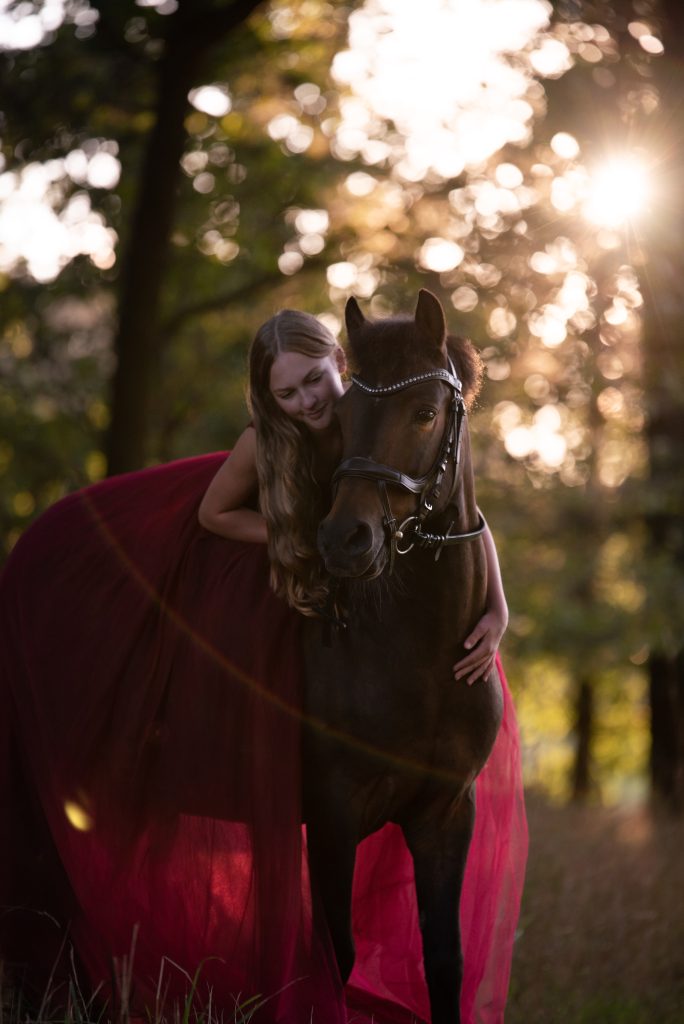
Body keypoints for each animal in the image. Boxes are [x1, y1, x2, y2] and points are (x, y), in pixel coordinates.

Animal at [303, 290, 501, 1024]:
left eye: (424, 413)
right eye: (342, 417)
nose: (344, 539)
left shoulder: (444, 816)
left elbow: (444, 961)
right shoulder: (331, 814)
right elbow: (335, 956)